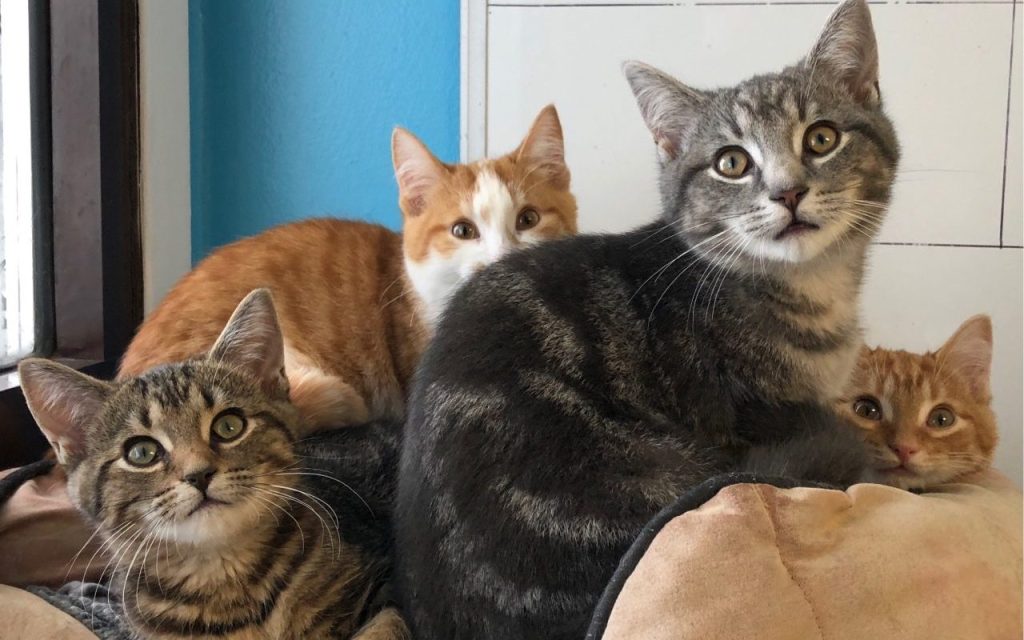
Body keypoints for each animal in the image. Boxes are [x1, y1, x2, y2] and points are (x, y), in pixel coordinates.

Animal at [18, 288, 407, 638]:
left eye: (229, 426)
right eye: (141, 453)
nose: (199, 474)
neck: (225, 579)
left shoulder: (386, 582)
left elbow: (385, 626)